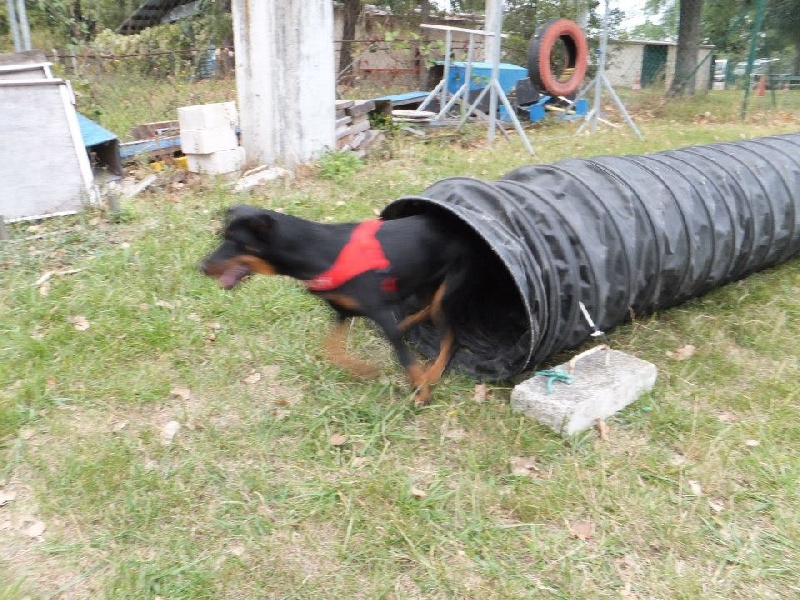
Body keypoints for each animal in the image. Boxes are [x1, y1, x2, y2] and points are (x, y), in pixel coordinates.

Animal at [202, 206, 476, 408]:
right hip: (424, 284)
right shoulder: (342, 311)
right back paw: (406, 327)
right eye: (222, 236)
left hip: (446, 291)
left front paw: (422, 392)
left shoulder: (380, 312)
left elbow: (406, 359)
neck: (317, 250)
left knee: (450, 335)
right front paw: (365, 370)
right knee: (424, 310)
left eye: (236, 241)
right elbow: (331, 350)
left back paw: (433, 373)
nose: (201, 266)